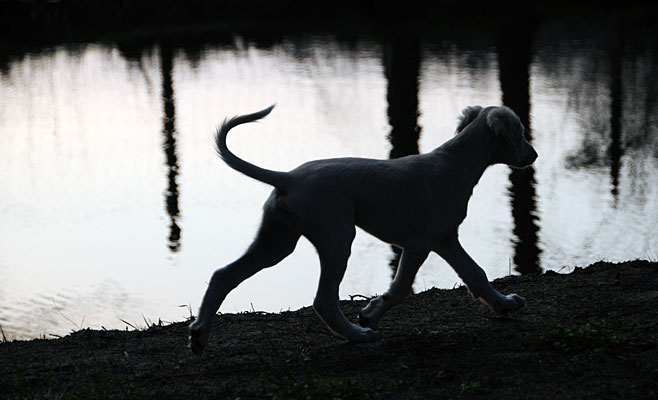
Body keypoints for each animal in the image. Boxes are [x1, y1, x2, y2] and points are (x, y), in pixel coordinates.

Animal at [187, 104, 536, 354]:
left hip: (276, 243)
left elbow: (476, 274)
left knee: (223, 276)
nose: (534, 155)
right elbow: (400, 288)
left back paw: (199, 336)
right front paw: (371, 314)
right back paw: (357, 335)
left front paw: (504, 304)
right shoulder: (420, 243)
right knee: (323, 300)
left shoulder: (446, 240)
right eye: (520, 131)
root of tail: (289, 177)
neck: (455, 163)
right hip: (337, 239)